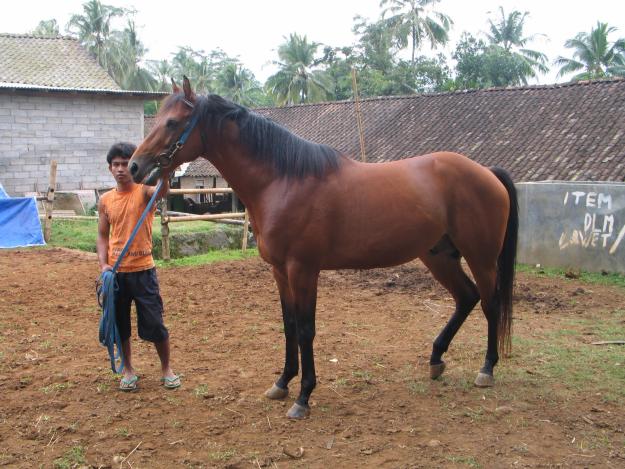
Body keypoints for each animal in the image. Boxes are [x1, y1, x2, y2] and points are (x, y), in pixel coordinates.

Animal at [128, 78, 516, 418]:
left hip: (481, 258)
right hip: (438, 256)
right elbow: (288, 326)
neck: (283, 181)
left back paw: (486, 369)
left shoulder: (303, 269)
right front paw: (282, 382)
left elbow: (305, 329)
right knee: (466, 297)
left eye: (173, 122)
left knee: (490, 303)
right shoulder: (280, 271)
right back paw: (436, 360)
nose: (134, 165)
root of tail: (486, 171)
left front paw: (303, 397)